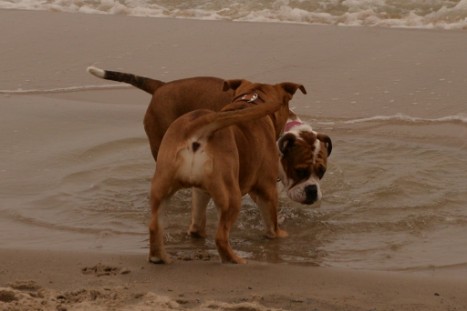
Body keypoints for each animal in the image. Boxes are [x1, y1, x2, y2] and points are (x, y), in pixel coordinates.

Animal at [148, 79, 306, 264]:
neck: (251, 100)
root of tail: (198, 125)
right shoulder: (267, 189)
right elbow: (271, 222)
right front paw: (278, 234)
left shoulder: (201, 190)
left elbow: (197, 218)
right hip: (232, 197)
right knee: (221, 237)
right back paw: (235, 260)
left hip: (161, 188)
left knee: (157, 226)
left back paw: (160, 256)